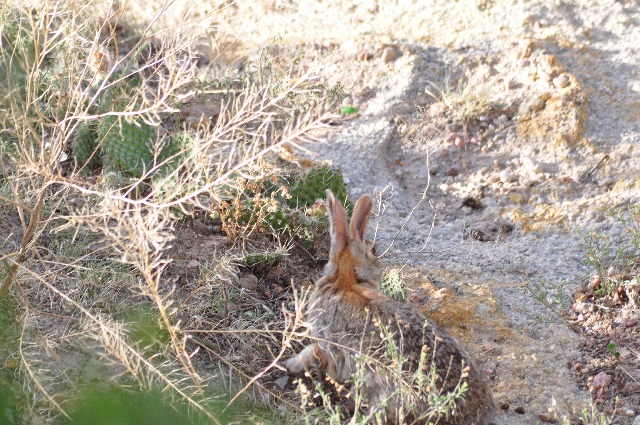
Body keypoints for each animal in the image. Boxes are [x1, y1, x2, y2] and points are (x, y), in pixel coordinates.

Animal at [284, 190, 496, 424]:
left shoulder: (329, 346)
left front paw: (291, 364)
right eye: (374, 250)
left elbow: (315, 353)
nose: (380, 268)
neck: (345, 282)